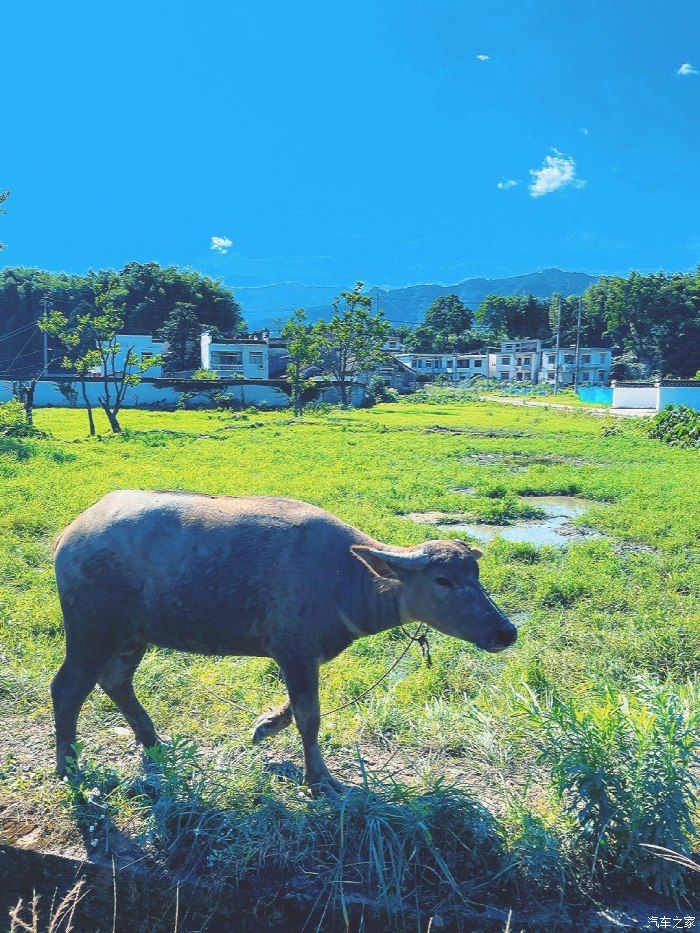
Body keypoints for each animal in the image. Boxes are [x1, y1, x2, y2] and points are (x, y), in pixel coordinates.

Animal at [52, 492, 516, 792]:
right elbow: (310, 716)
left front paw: (265, 726)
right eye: (443, 580)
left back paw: (153, 741)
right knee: (68, 688)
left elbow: (295, 709)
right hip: (91, 631)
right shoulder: (295, 654)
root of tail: (70, 534)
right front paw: (320, 778)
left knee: (116, 681)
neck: (345, 578)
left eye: (475, 574)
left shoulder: (301, 656)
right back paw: (69, 766)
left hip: (131, 635)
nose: (504, 632)